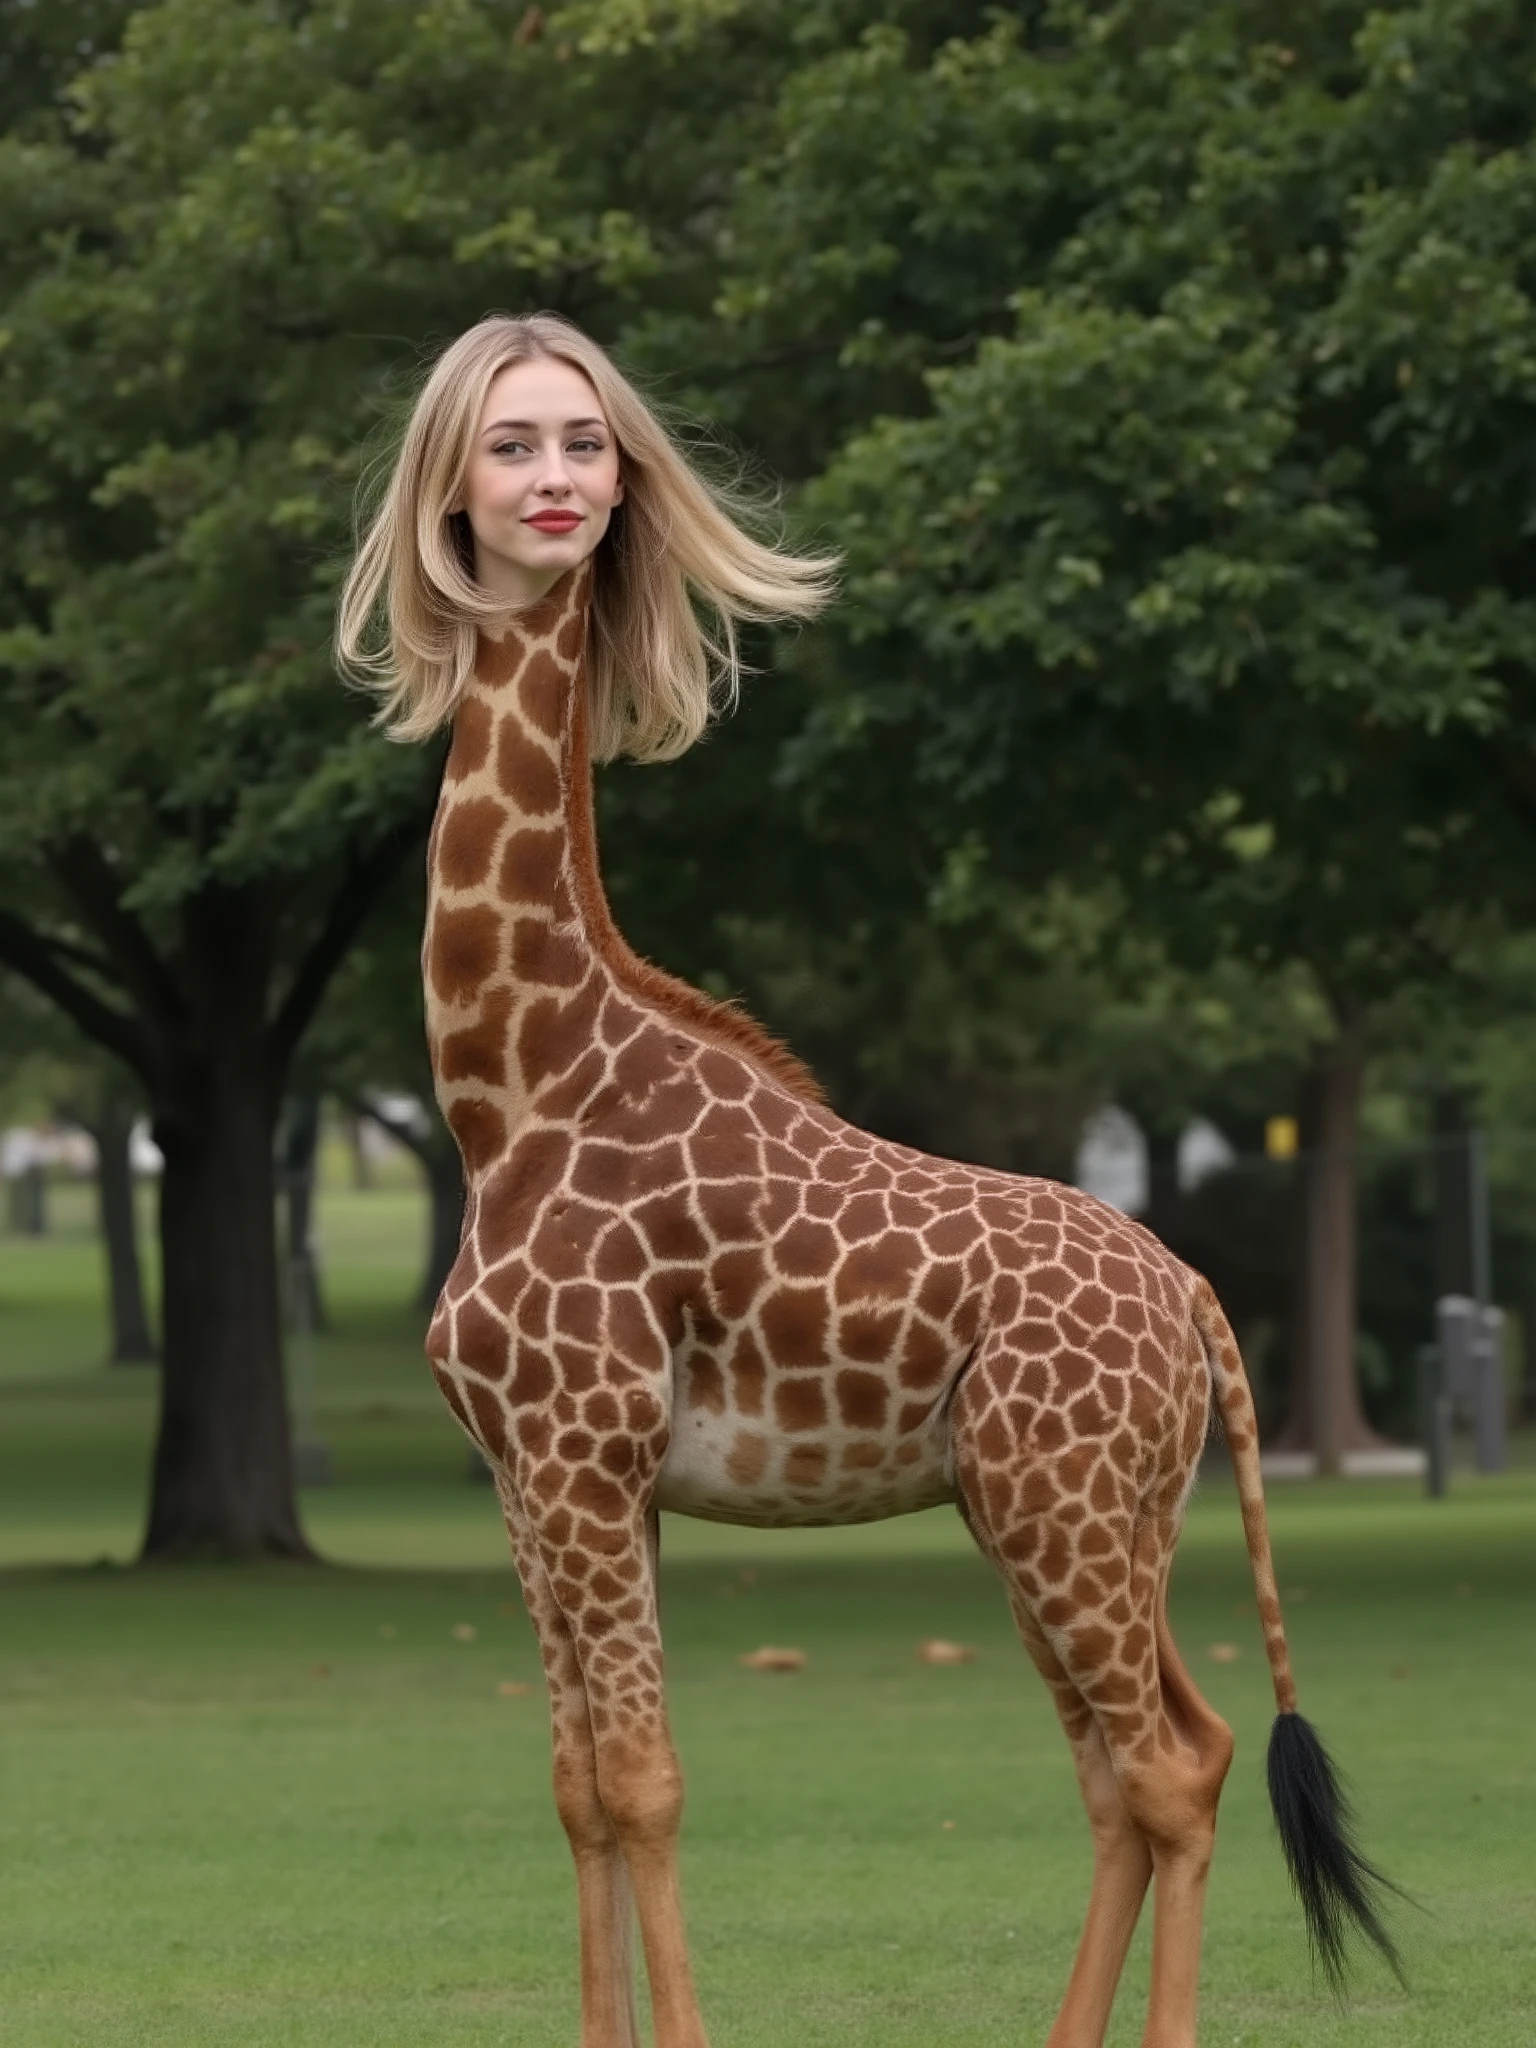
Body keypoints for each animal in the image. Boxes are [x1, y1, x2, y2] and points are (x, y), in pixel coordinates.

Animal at [421, 561, 1396, 2048]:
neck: (509, 1091)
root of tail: (1196, 1296)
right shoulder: (534, 1476)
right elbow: (578, 1788)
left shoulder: (584, 1451)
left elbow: (645, 1782)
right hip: (1088, 1514)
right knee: (1156, 1760)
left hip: (1059, 1507)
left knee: (1167, 1768)